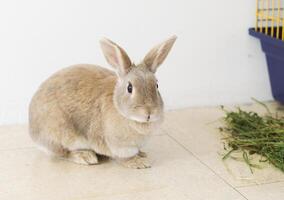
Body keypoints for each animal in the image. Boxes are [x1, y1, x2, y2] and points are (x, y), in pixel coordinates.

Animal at [28, 36, 175, 169]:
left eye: (156, 85)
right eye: (129, 88)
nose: (149, 113)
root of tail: (32, 131)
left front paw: (142, 154)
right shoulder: (120, 146)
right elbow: (124, 158)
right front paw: (138, 162)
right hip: (61, 133)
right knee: (62, 153)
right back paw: (85, 156)